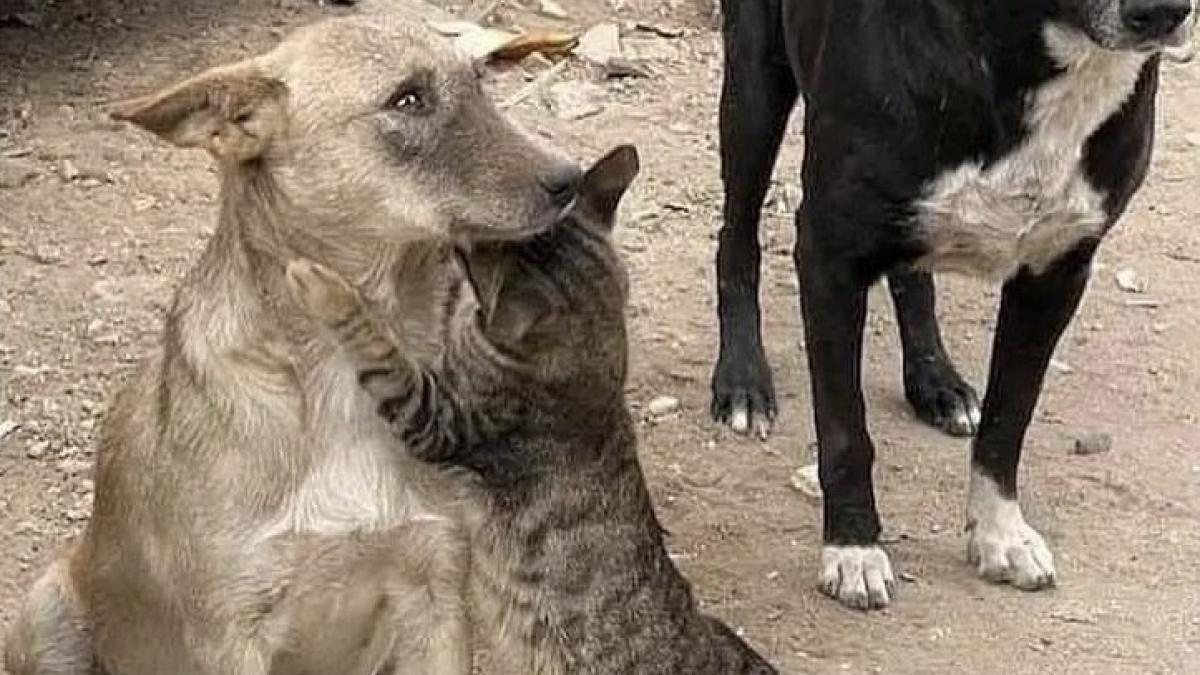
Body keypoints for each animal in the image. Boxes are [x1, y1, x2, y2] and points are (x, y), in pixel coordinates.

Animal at [3, 11, 585, 672]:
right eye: (407, 99)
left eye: (481, 83)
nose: (571, 179)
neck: (339, 374)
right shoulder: (230, 633)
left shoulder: (436, 589)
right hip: (45, 615)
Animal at [288, 144, 777, 667]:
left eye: (477, 250)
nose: (459, 236)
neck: (596, 357)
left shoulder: (442, 420)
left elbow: (380, 350)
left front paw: (325, 287)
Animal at [710, 0, 1190, 607]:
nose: (1162, 14)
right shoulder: (828, 255)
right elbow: (844, 429)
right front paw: (853, 547)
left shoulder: (1055, 275)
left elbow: (1009, 419)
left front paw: (999, 532)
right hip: (754, 84)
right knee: (736, 239)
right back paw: (742, 381)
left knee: (911, 273)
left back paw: (934, 380)